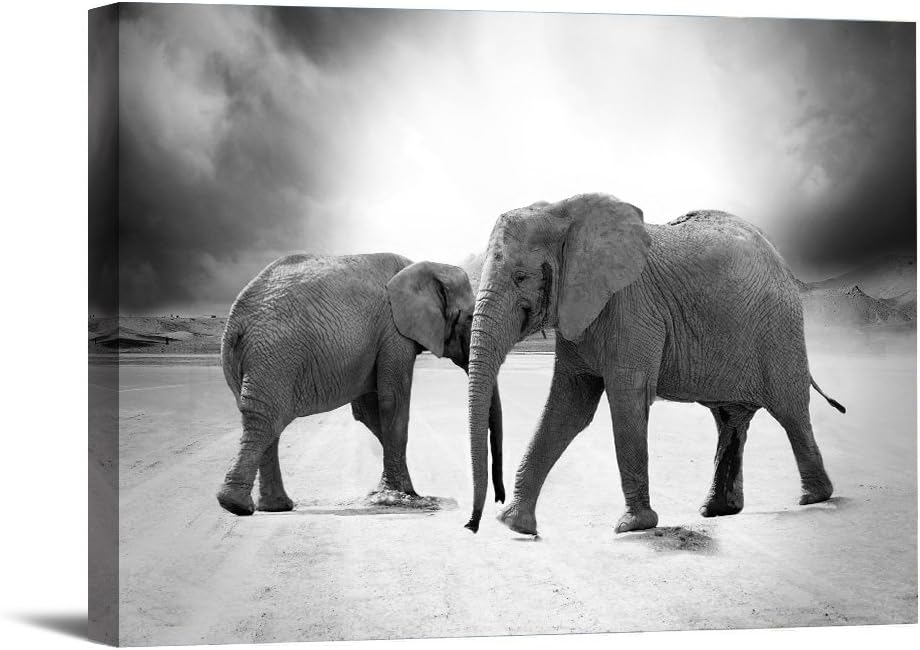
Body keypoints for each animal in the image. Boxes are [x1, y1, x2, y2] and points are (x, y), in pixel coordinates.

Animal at [216, 252, 504, 516]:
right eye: (470, 318)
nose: (499, 500)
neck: (424, 266)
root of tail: (235, 323)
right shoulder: (393, 331)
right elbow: (393, 402)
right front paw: (403, 495)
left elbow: (368, 411)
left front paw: (400, 491)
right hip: (275, 357)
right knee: (266, 421)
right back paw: (237, 505)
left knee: (265, 423)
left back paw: (273, 507)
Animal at [463, 193, 845, 535]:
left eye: (520, 277)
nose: (472, 525)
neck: (562, 212)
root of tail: (781, 260)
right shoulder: (579, 314)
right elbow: (569, 407)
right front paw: (514, 524)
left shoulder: (632, 308)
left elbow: (626, 400)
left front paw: (633, 526)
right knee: (729, 418)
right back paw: (718, 510)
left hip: (780, 329)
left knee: (790, 410)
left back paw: (813, 497)